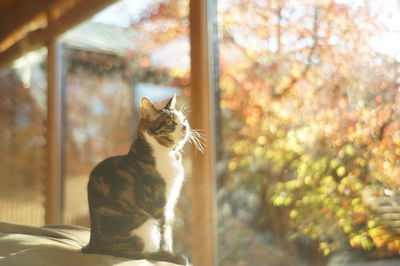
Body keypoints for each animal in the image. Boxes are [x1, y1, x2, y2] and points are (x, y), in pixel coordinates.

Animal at [81, 96, 202, 264]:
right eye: (171, 123)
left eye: (184, 119)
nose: (185, 127)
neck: (166, 153)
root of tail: (93, 246)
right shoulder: (160, 205)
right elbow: (165, 234)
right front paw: (168, 256)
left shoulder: (170, 205)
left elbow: (168, 232)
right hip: (145, 225)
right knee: (138, 252)